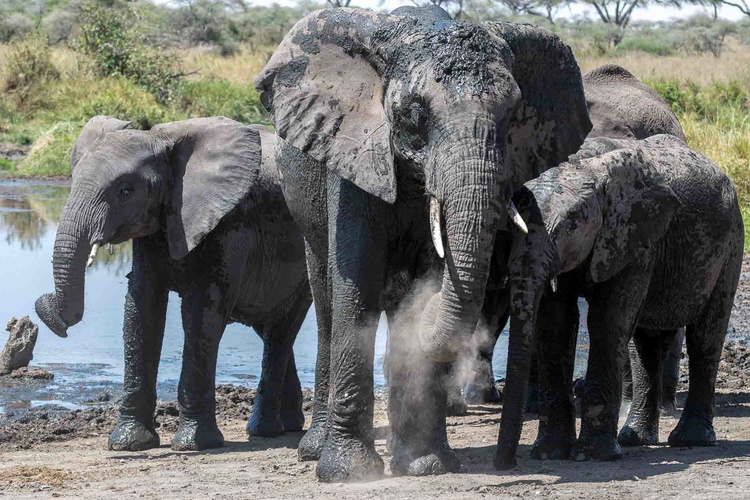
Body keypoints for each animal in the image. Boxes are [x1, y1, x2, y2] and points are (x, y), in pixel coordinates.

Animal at [34, 115, 312, 452]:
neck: (161, 139)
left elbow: (200, 313)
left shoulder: (227, 225)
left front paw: (194, 445)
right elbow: (141, 308)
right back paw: (290, 425)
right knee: (269, 328)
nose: (51, 311)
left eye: (125, 190)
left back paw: (264, 431)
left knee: (282, 332)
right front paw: (129, 444)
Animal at [256, 6, 596, 480]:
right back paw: (313, 450)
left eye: (513, 114)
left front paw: (428, 465)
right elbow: (356, 284)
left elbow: (432, 272)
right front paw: (349, 473)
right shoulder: (354, 154)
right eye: (413, 114)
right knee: (325, 302)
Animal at [494, 133, 748, 468]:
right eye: (512, 226)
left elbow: (606, 322)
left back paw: (690, 441)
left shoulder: (634, 238)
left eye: (571, 226)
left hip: (731, 241)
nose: (506, 463)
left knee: (705, 336)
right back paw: (634, 438)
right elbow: (556, 325)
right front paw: (549, 453)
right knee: (645, 345)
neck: (584, 166)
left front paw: (594, 455)